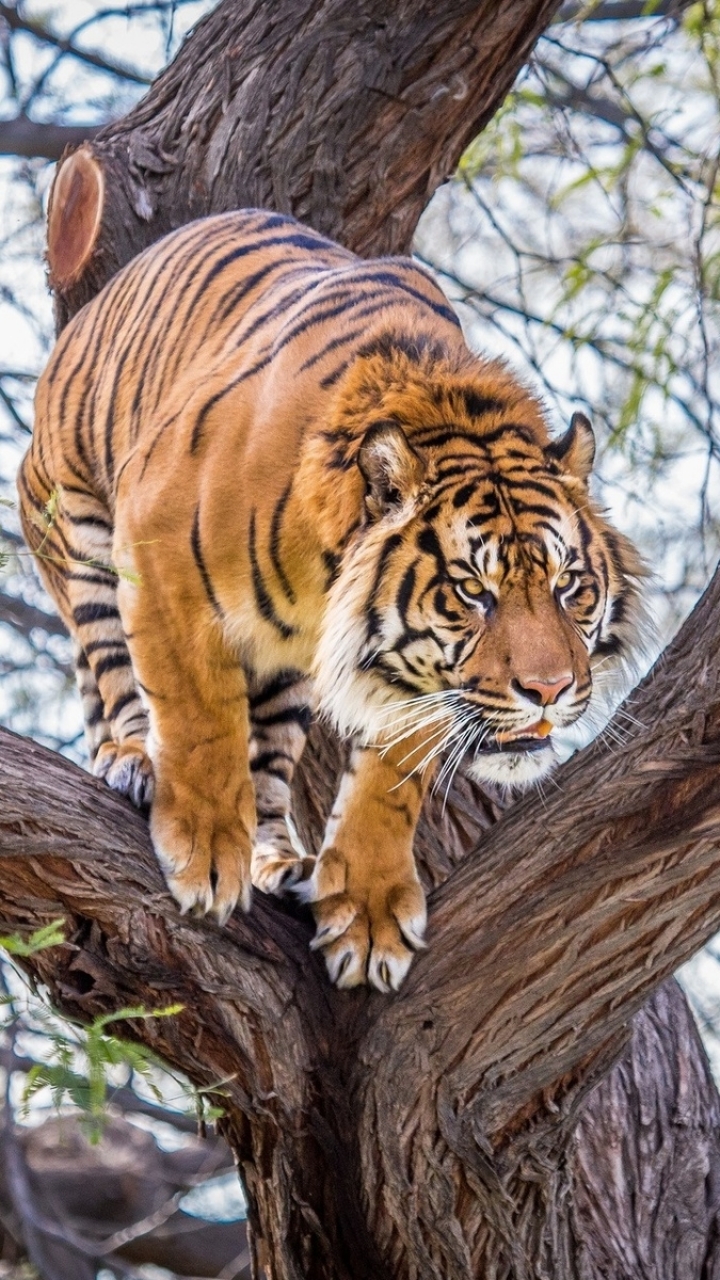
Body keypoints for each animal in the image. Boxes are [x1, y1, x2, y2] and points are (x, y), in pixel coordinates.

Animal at [19, 207, 640, 988]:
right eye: (473, 590)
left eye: (569, 586)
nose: (550, 690)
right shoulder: (157, 552)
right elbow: (198, 716)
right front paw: (204, 851)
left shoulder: (415, 680)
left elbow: (390, 782)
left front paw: (368, 915)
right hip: (77, 526)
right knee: (112, 674)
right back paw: (136, 761)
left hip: (287, 674)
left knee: (268, 767)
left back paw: (279, 860)